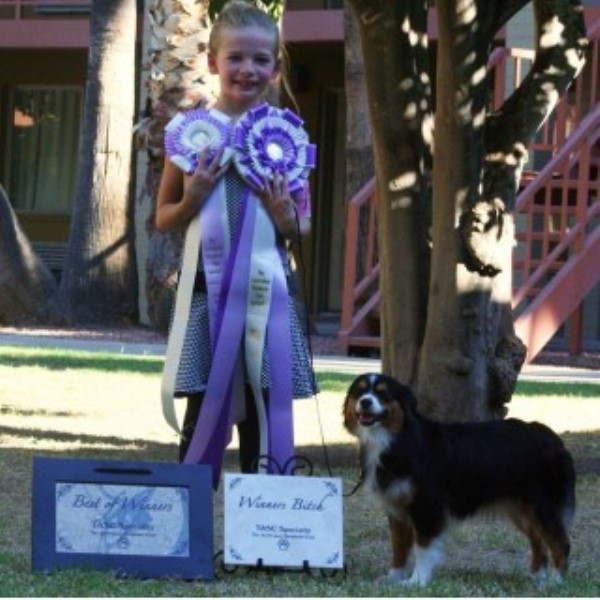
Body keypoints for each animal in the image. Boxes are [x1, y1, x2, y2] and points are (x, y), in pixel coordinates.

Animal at [342, 372, 576, 584]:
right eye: (359, 392)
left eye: (383, 394)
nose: (365, 402)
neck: (396, 438)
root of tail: (554, 439)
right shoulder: (397, 507)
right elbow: (398, 546)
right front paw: (393, 578)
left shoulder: (427, 505)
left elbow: (422, 547)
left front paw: (417, 581)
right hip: (522, 509)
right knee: (538, 541)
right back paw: (536, 577)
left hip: (542, 505)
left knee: (560, 542)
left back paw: (555, 582)